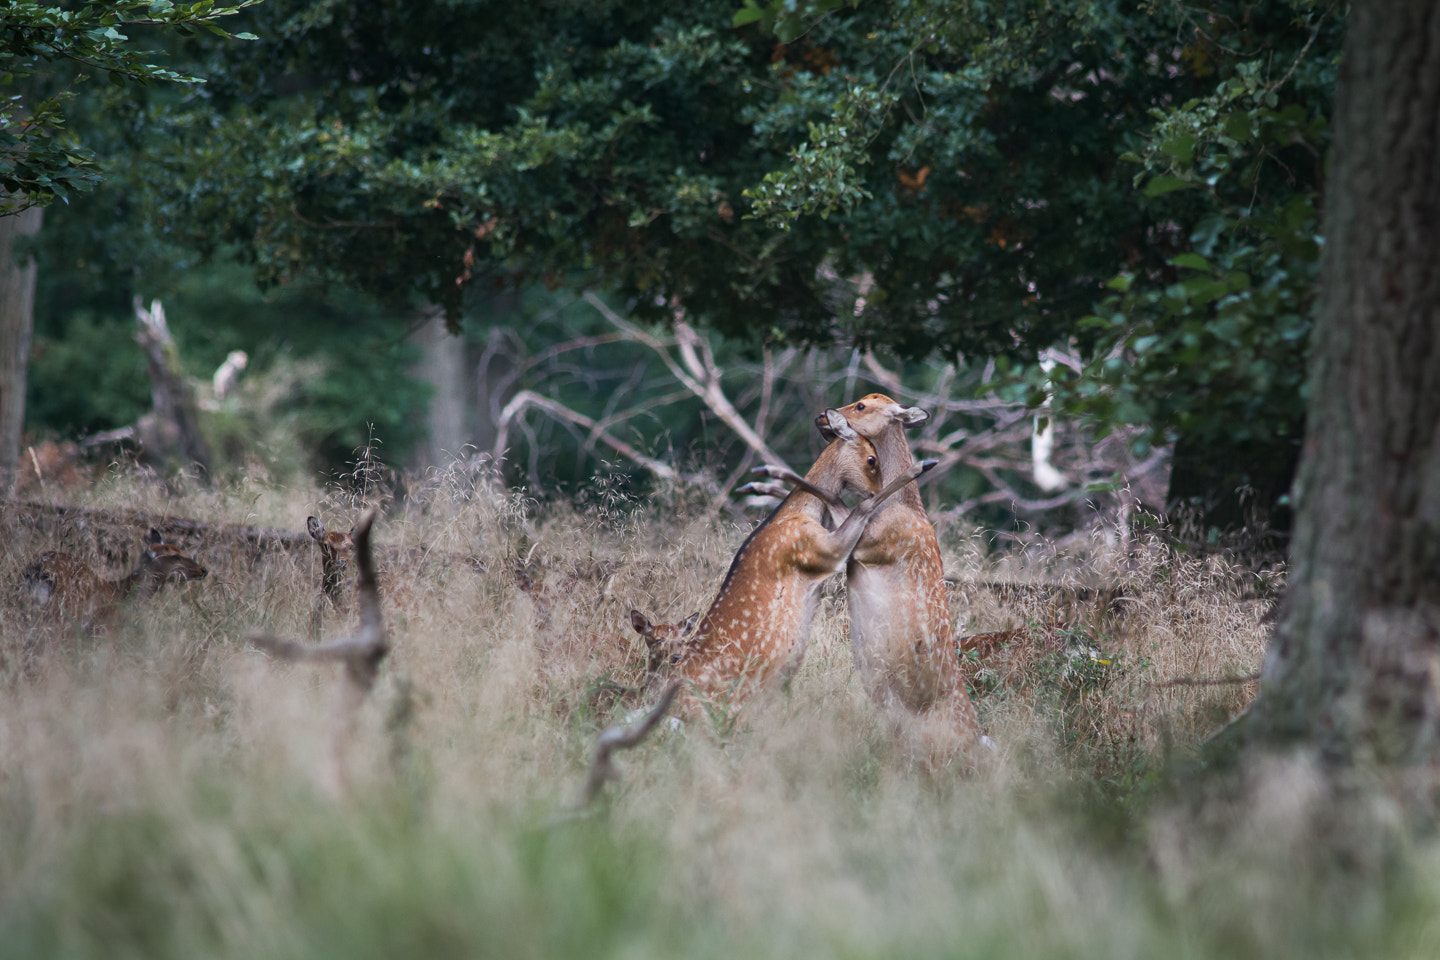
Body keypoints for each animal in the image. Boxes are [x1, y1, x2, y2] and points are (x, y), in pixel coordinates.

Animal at [659, 408, 938, 716]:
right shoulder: (811, 548)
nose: (875, 490)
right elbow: (860, 508)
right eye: (871, 460)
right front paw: (922, 465)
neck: (799, 513)